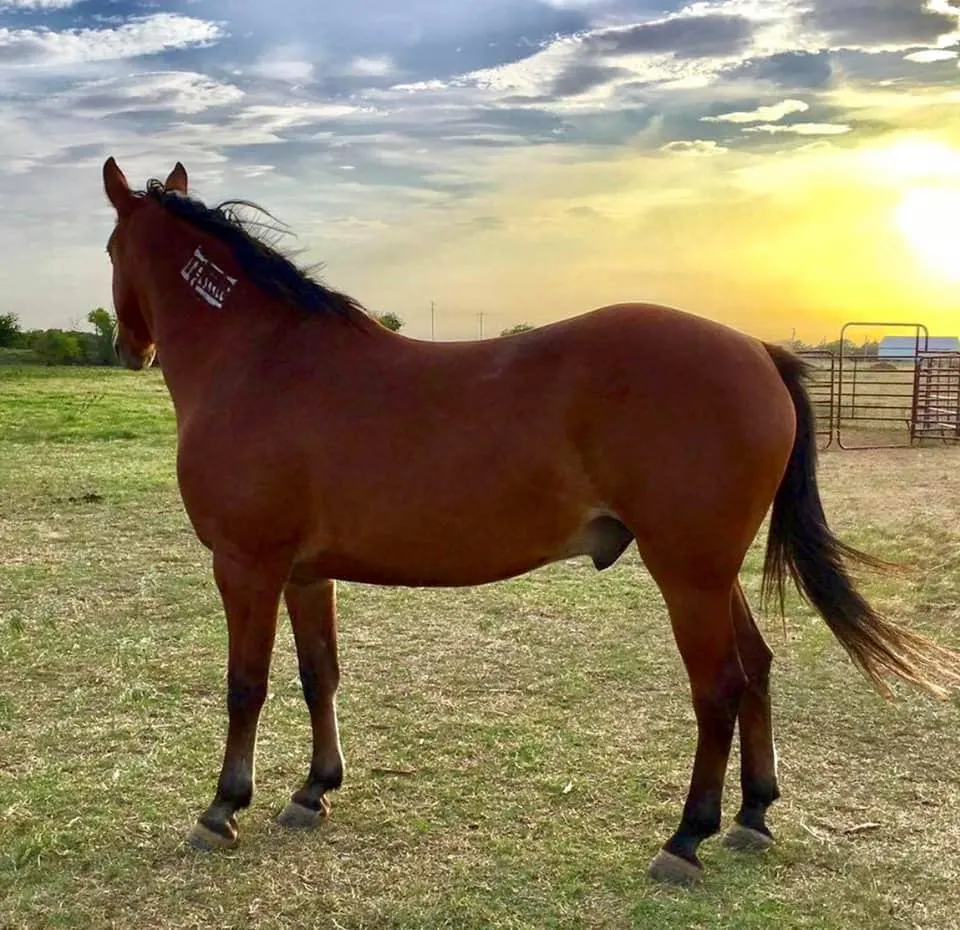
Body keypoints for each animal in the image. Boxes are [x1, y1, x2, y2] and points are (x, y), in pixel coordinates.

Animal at [99, 156, 960, 880]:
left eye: (109, 248)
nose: (130, 350)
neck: (263, 359)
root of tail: (756, 350)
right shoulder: (305, 574)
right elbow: (320, 675)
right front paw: (314, 790)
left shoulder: (245, 565)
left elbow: (245, 684)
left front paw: (222, 807)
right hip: (713, 574)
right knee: (757, 670)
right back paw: (752, 815)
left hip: (686, 573)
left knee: (719, 687)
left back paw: (687, 837)